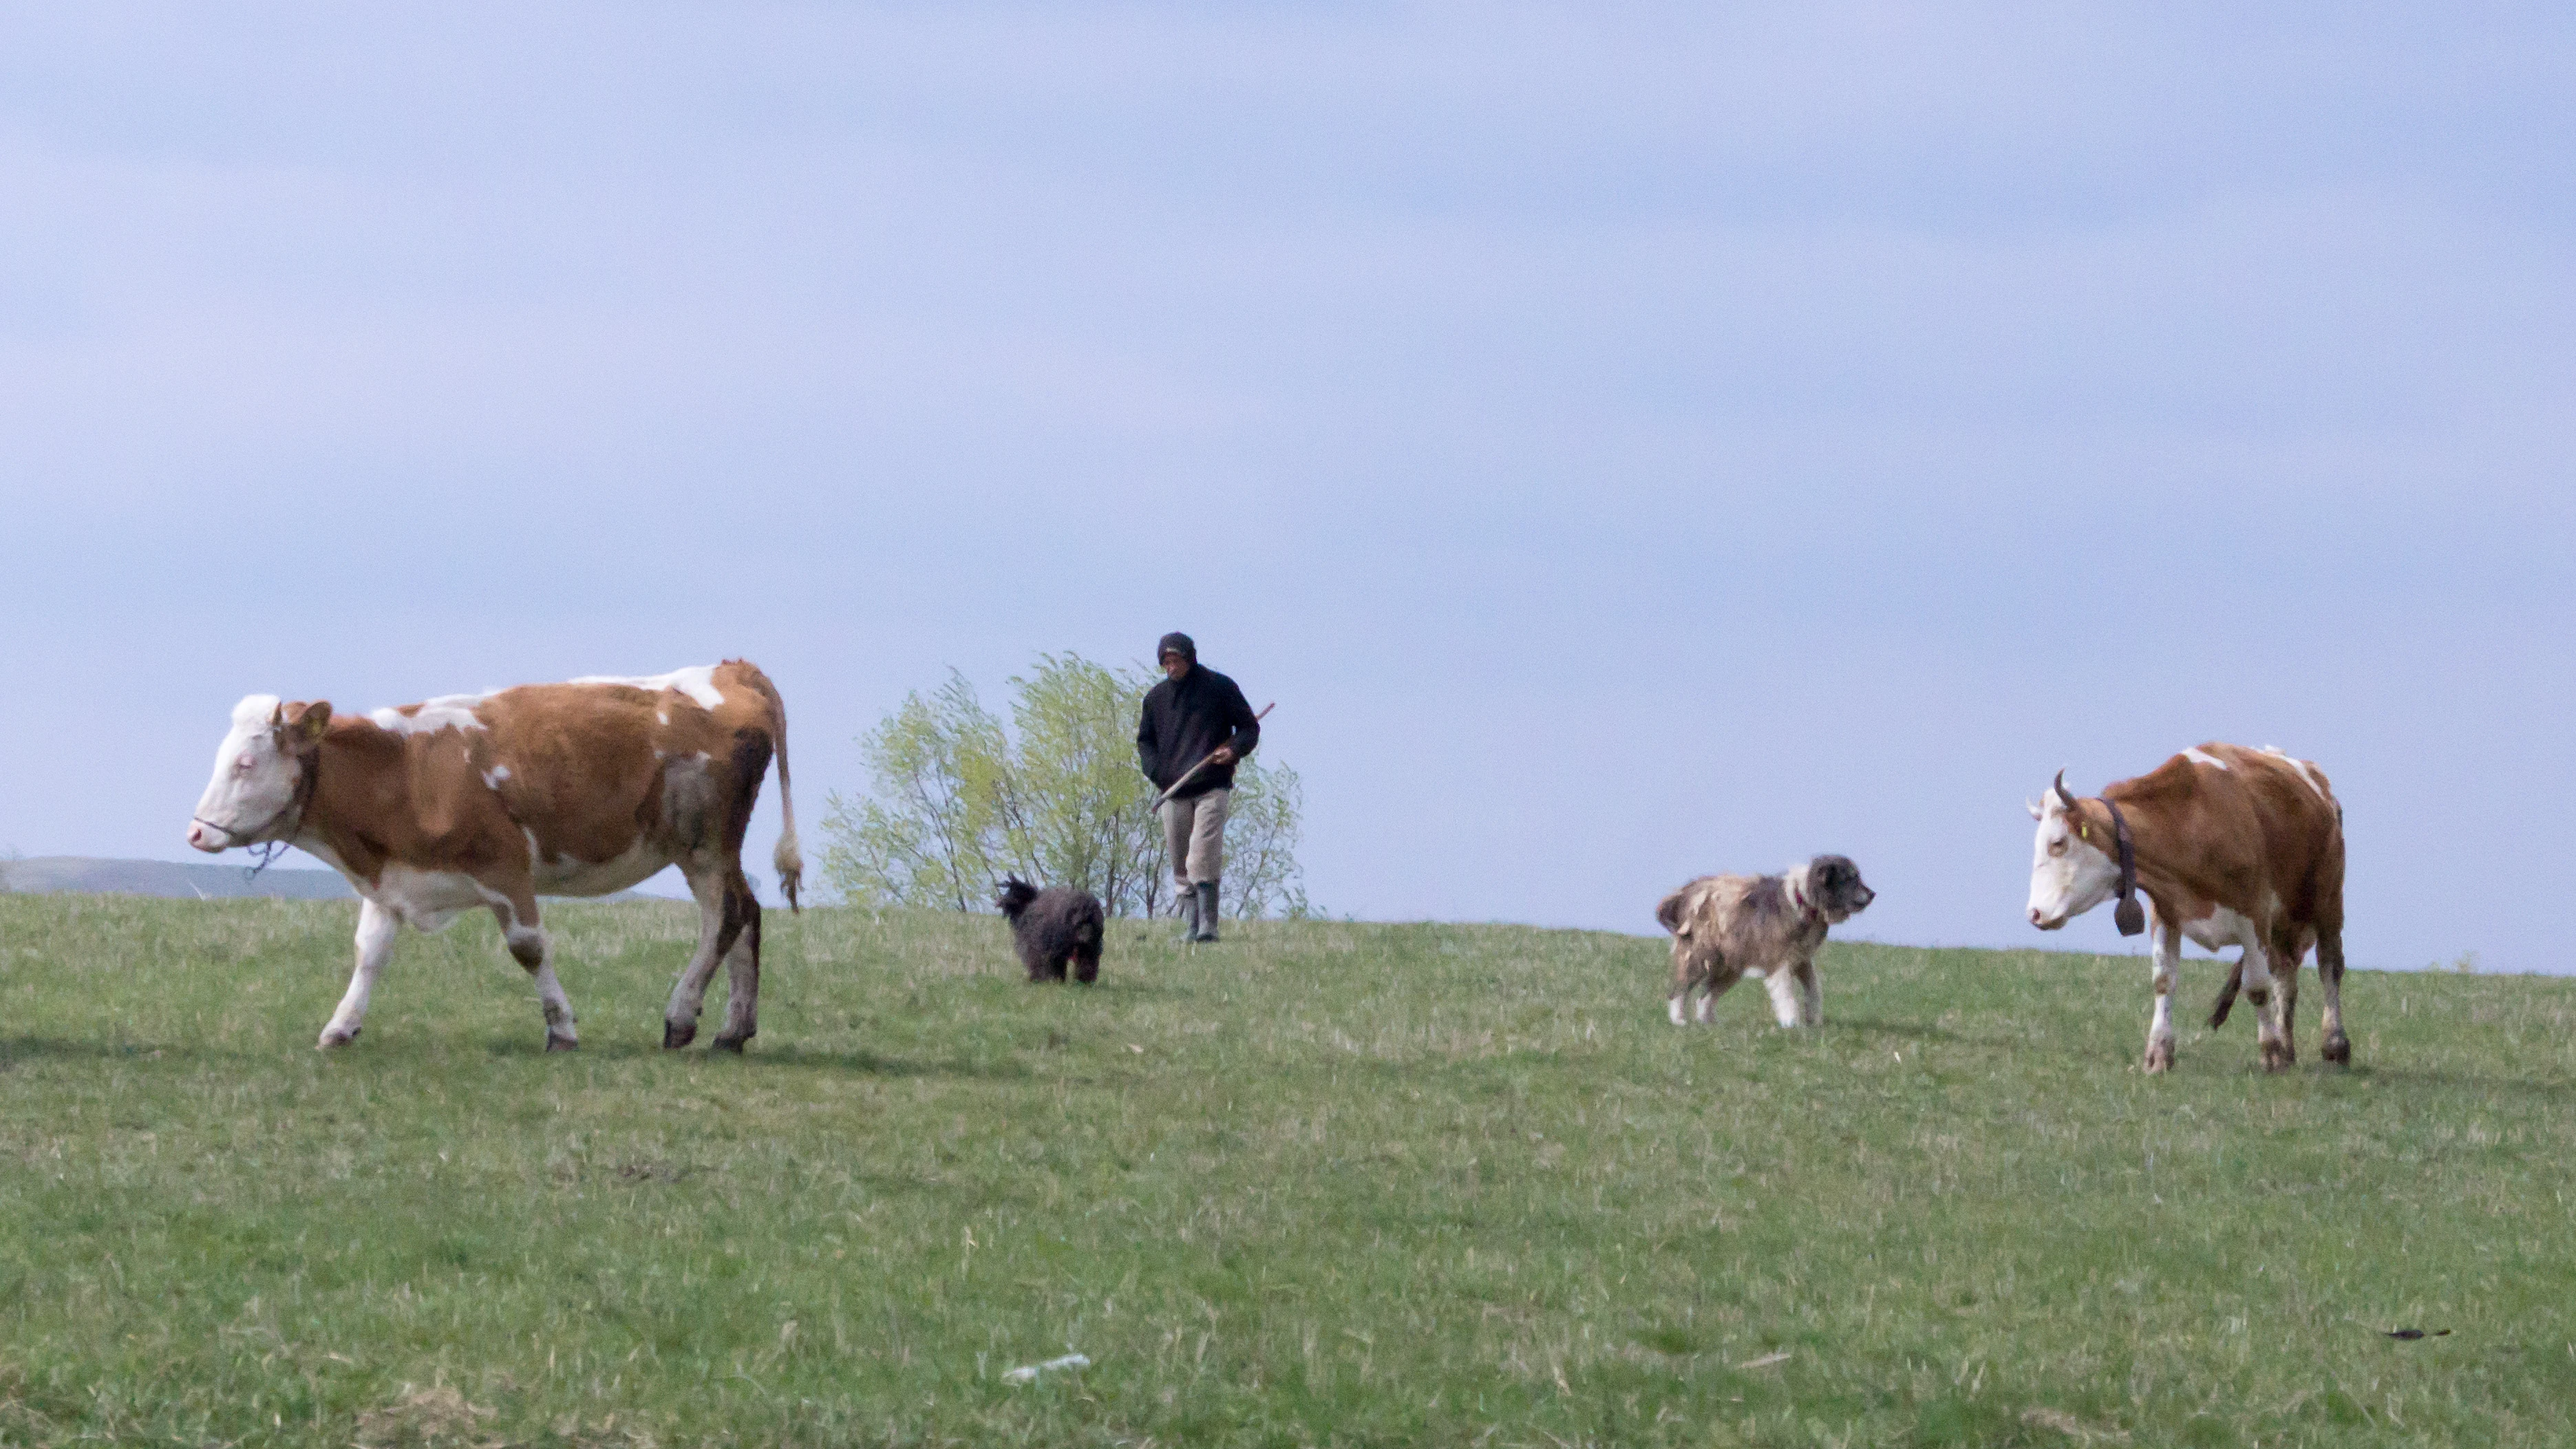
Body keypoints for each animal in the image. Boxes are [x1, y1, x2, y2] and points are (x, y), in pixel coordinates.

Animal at [187, 661, 802, 1053]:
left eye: (245, 763)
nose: (195, 832)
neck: (406, 770)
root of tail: (730, 669)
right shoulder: (392, 879)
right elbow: (369, 954)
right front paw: (341, 1027)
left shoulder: (506, 869)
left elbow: (529, 947)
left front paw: (562, 1030)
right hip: (714, 850)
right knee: (746, 913)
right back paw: (733, 1031)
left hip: (703, 845)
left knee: (723, 917)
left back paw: (681, 1017)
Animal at [2025, 743, 2347, 1073]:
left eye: (2058, 843)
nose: (2034, 914)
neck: (2191, 824)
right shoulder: (2166, 913)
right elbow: (2164, 981)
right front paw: (2158, 1054)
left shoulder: (2254, 915)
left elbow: (2257, 987)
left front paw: (2271, 1055)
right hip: (2285, 923)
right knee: (2285, 974)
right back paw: (2287, 1046)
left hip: (2327, 901)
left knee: (2329, 965)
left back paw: (2334, 1045)